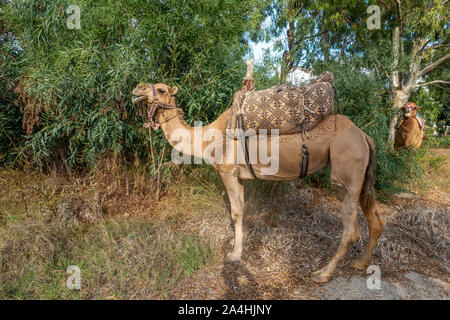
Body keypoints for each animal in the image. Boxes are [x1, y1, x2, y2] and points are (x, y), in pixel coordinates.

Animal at [132, 82, 384, 282]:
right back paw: (361, 264)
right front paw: (237, 249)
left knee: (351, 230)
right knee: (375, 219)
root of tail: (364, 135)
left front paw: (233, 255)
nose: (137, 90)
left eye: (161, 89)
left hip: (345, 172)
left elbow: (236, 212)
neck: (207, 139)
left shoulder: (228, 171)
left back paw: (323, 273)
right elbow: (242, 210)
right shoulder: (239, 176)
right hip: (361, 175)